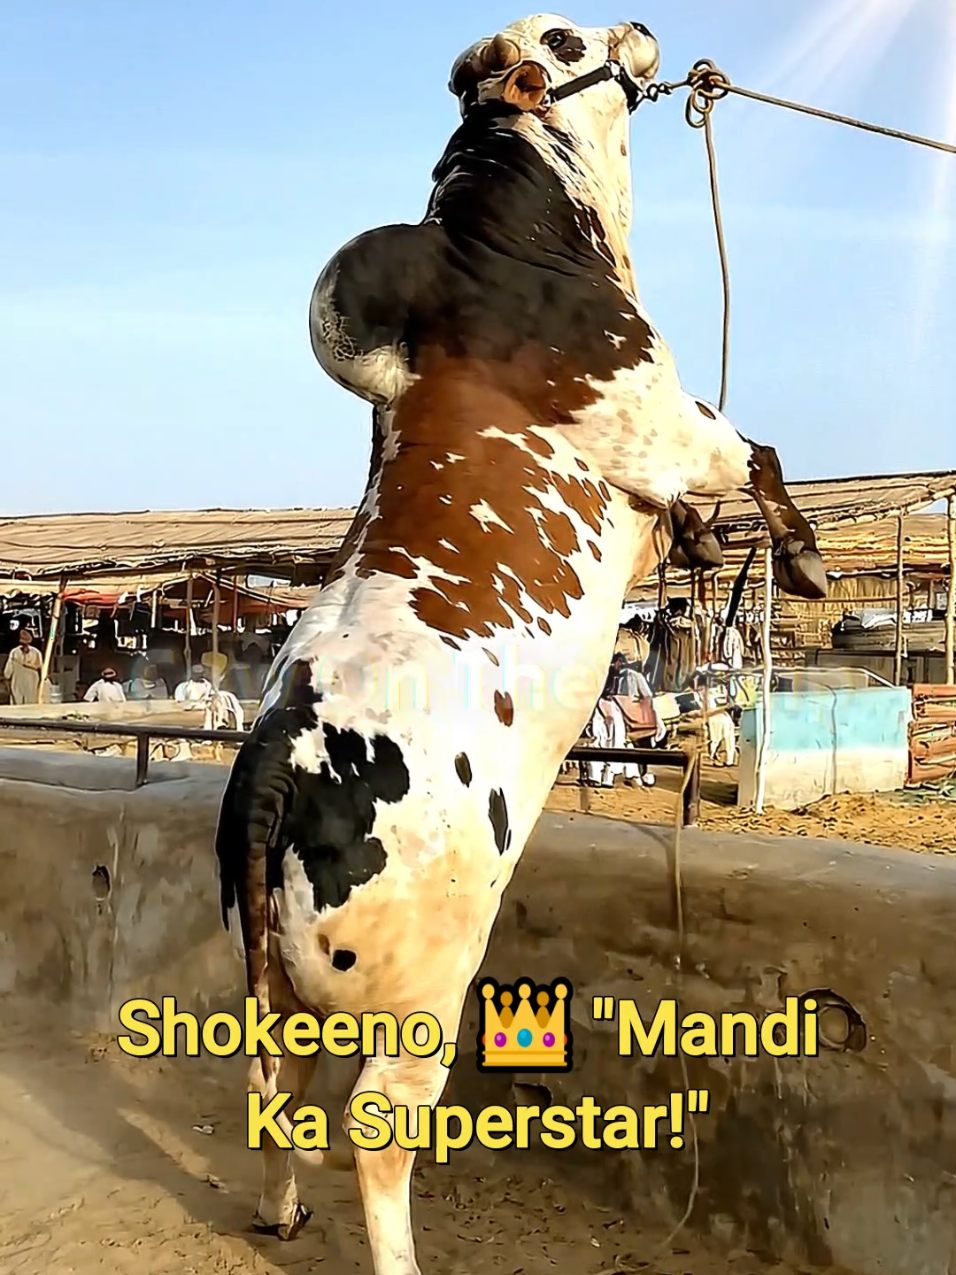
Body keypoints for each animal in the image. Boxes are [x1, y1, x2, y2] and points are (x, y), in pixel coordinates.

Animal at [213, 15, 826, 1275]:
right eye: (562, 34)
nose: (639, 27)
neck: (524, 242)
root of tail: (277, 759)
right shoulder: (669, 423)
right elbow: (760, 456)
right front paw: (800, 562)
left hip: (277, 982)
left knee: (272, 1086)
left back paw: (280, 1208)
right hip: (421, 993)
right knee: (372, 1129)